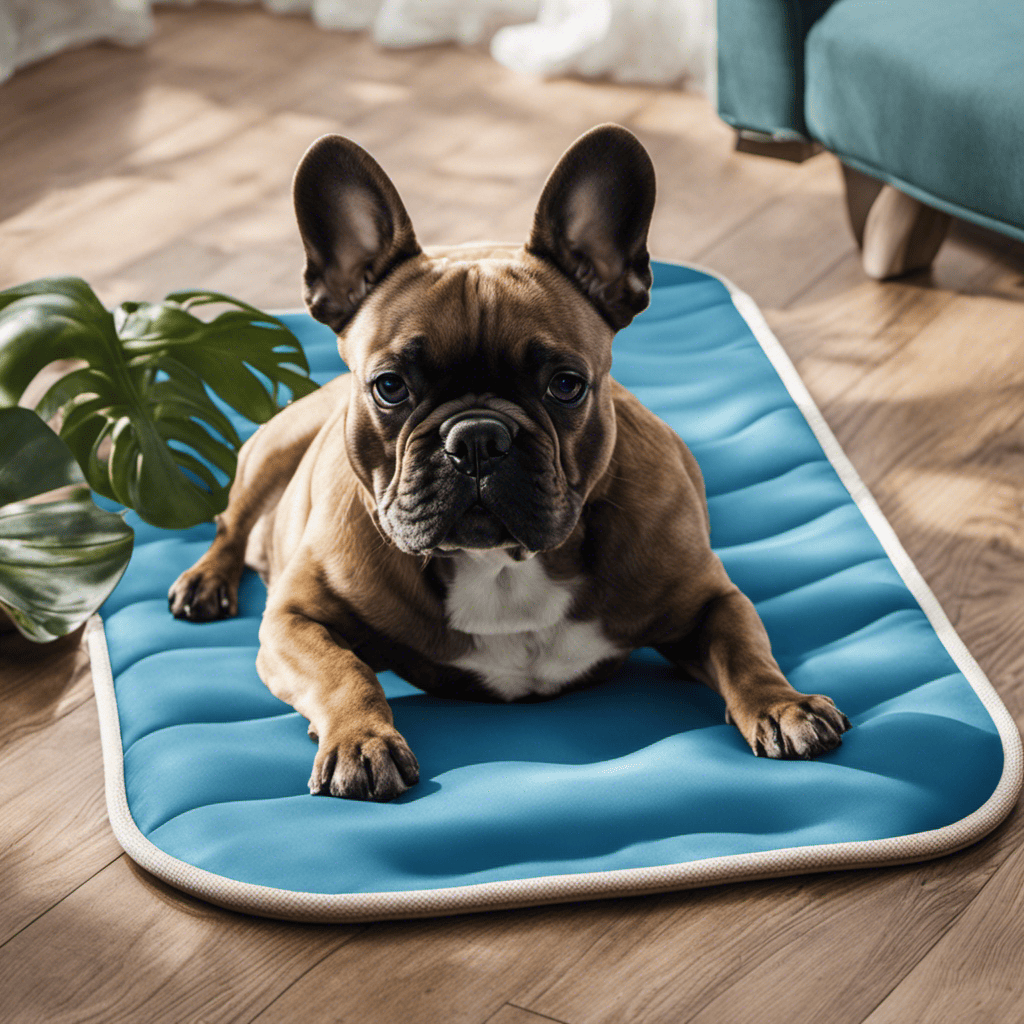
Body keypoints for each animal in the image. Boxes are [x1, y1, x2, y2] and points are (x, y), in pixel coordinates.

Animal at [167, 125, 851, 798]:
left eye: (566, 385)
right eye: (390, 387)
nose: (476, 437)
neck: (500, 566)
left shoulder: (708, 599)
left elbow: (745, 650)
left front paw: (783, 705)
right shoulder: (294, 621)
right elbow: (344, 669)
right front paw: (362, 740)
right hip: (273, 446)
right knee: (230, 524)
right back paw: (205, 582)